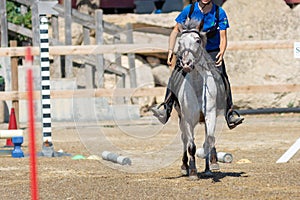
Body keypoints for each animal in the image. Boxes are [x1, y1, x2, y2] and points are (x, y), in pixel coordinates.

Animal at [170, 19, 226, 178]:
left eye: (197, 40)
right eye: (180, 42)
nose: (186, 64)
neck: (197, 87)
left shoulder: (210, 115)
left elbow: (209, 140)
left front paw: (210, 167)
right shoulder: (188, 118)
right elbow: (191, 146)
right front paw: (193, 171)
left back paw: (208, 167)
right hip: (181, 118)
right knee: (184, 139)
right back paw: (185, 166)